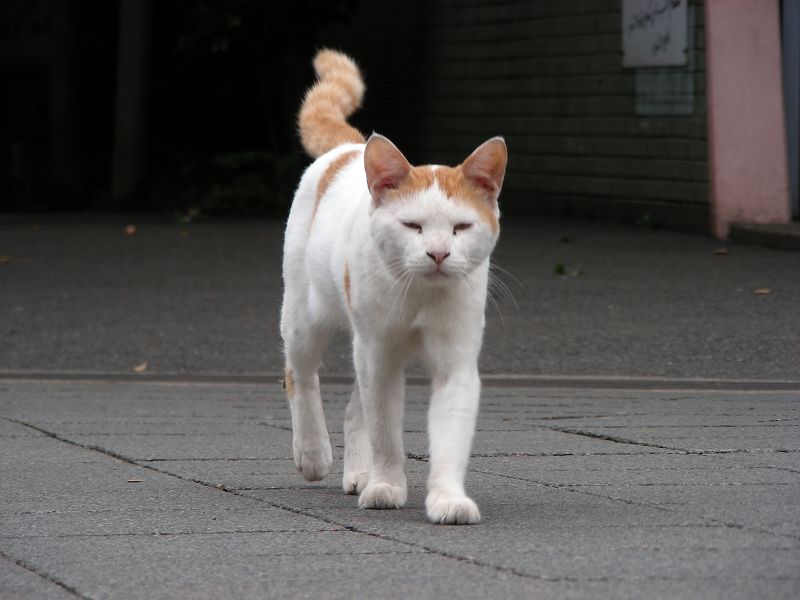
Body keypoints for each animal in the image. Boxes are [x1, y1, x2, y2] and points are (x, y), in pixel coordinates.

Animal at [282, 49, 506, 524]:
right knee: (301, 375)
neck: (420, 296)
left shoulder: (455, 360)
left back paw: (357, 474)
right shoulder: (379, 354)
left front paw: (446, 498)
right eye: (413, 226)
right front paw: (386, 485)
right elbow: (385, 429)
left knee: (354, 408)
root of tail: (349, 148)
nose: (438, 253)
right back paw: (313, 454)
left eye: (461, 227)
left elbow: (449, 435)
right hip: (305, 317)